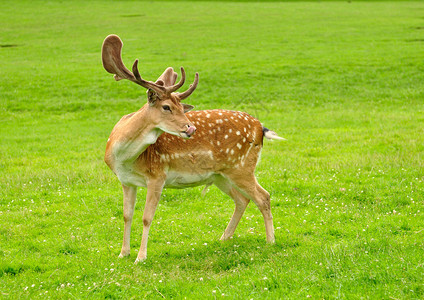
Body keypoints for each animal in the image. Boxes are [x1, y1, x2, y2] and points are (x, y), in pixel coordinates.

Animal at [102, 34, 284, 262]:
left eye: (181, 107)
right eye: (166, 107)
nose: (191, 128)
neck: (124, 158)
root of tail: (260, 128)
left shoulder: (157, 175)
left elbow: (146, 217)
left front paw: (140, 257)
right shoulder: (126, 181)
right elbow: (127, 215)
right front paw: (123, 253)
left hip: (241, 167)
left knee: (263, 196)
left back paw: (271, 241)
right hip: (220, 175)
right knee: (242, 199)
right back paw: (224, 238)